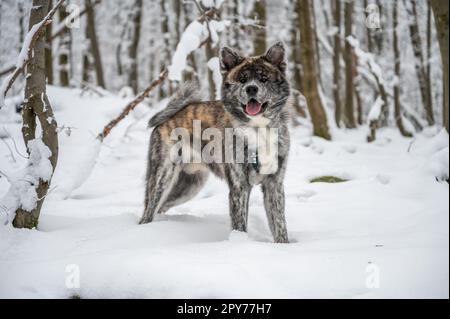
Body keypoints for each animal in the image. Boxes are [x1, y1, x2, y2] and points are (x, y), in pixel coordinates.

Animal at [139, 42, 290, 242]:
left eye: (263, 79)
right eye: (242, 80)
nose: (251, 89)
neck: (258, 130)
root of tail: (170, 116)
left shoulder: (274, 184)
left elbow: (280, 226)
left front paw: (284, 247)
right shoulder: (239, 186)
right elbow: (240, 224)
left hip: (188, 186)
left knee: (161, 207)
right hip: (162, 178)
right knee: (148, 211)